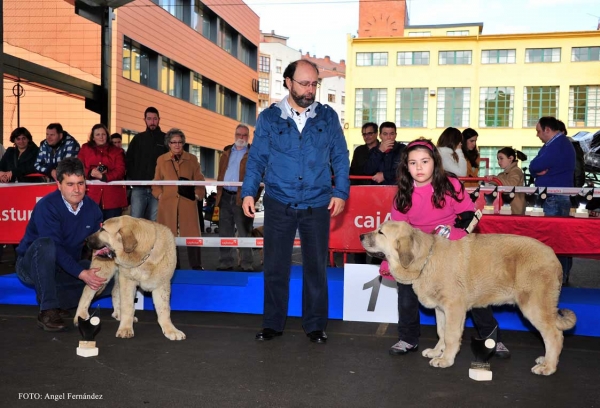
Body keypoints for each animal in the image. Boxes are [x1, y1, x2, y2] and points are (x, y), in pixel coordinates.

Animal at [360, 220, 576, 376]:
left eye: (380, 232)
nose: (361, 235)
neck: (426, 259)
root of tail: (553, 257)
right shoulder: (441, 309)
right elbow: (441, 332)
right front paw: (438, 351)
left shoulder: (454, 308)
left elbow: (451, 335)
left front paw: (445, 359)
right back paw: (546, 360)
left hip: (534, 306)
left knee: (554, 335)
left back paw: (548, 366)